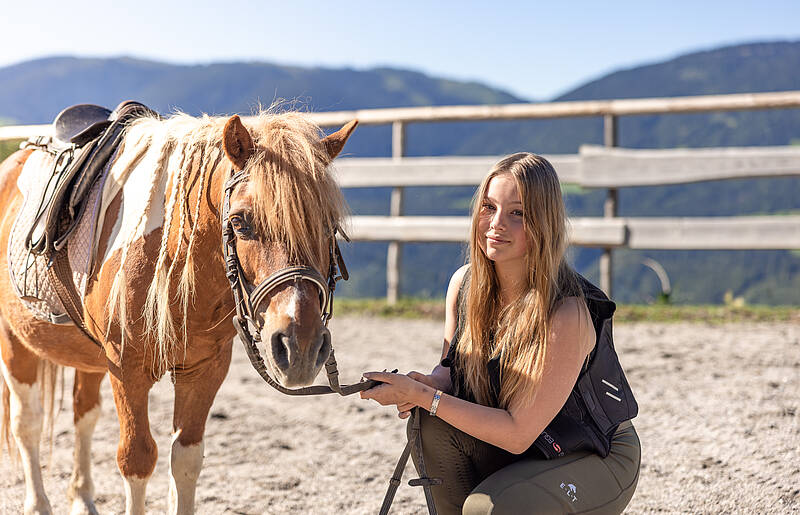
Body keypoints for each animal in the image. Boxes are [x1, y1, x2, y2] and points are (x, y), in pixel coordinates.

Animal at [0, 107, 356, 512]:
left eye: (330, 225)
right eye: (240, 222)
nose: (300, 346)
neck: (172, 257)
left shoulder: (204, 369)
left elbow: (186, 459)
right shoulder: (127, 369)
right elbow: (136, 459)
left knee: (83, 416)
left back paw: (84, 498)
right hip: (15, 344)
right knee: (26, 423)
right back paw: (38, 503)